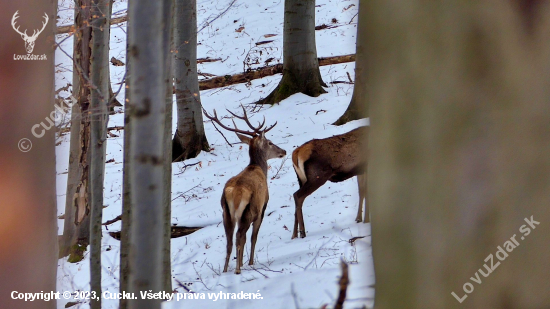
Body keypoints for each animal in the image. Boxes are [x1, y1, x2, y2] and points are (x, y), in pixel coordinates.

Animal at [204, 106, 288, 274]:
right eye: (270, 142)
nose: (284, 151)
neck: (258, 168)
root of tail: (232, 193)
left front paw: (242, 262)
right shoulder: (263, 207)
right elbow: (253, 237)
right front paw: (248, 263)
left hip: (226, 213)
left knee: (229, 241)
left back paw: (225, 270)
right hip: (248, 211)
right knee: (239, 236)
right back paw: (237, 270)